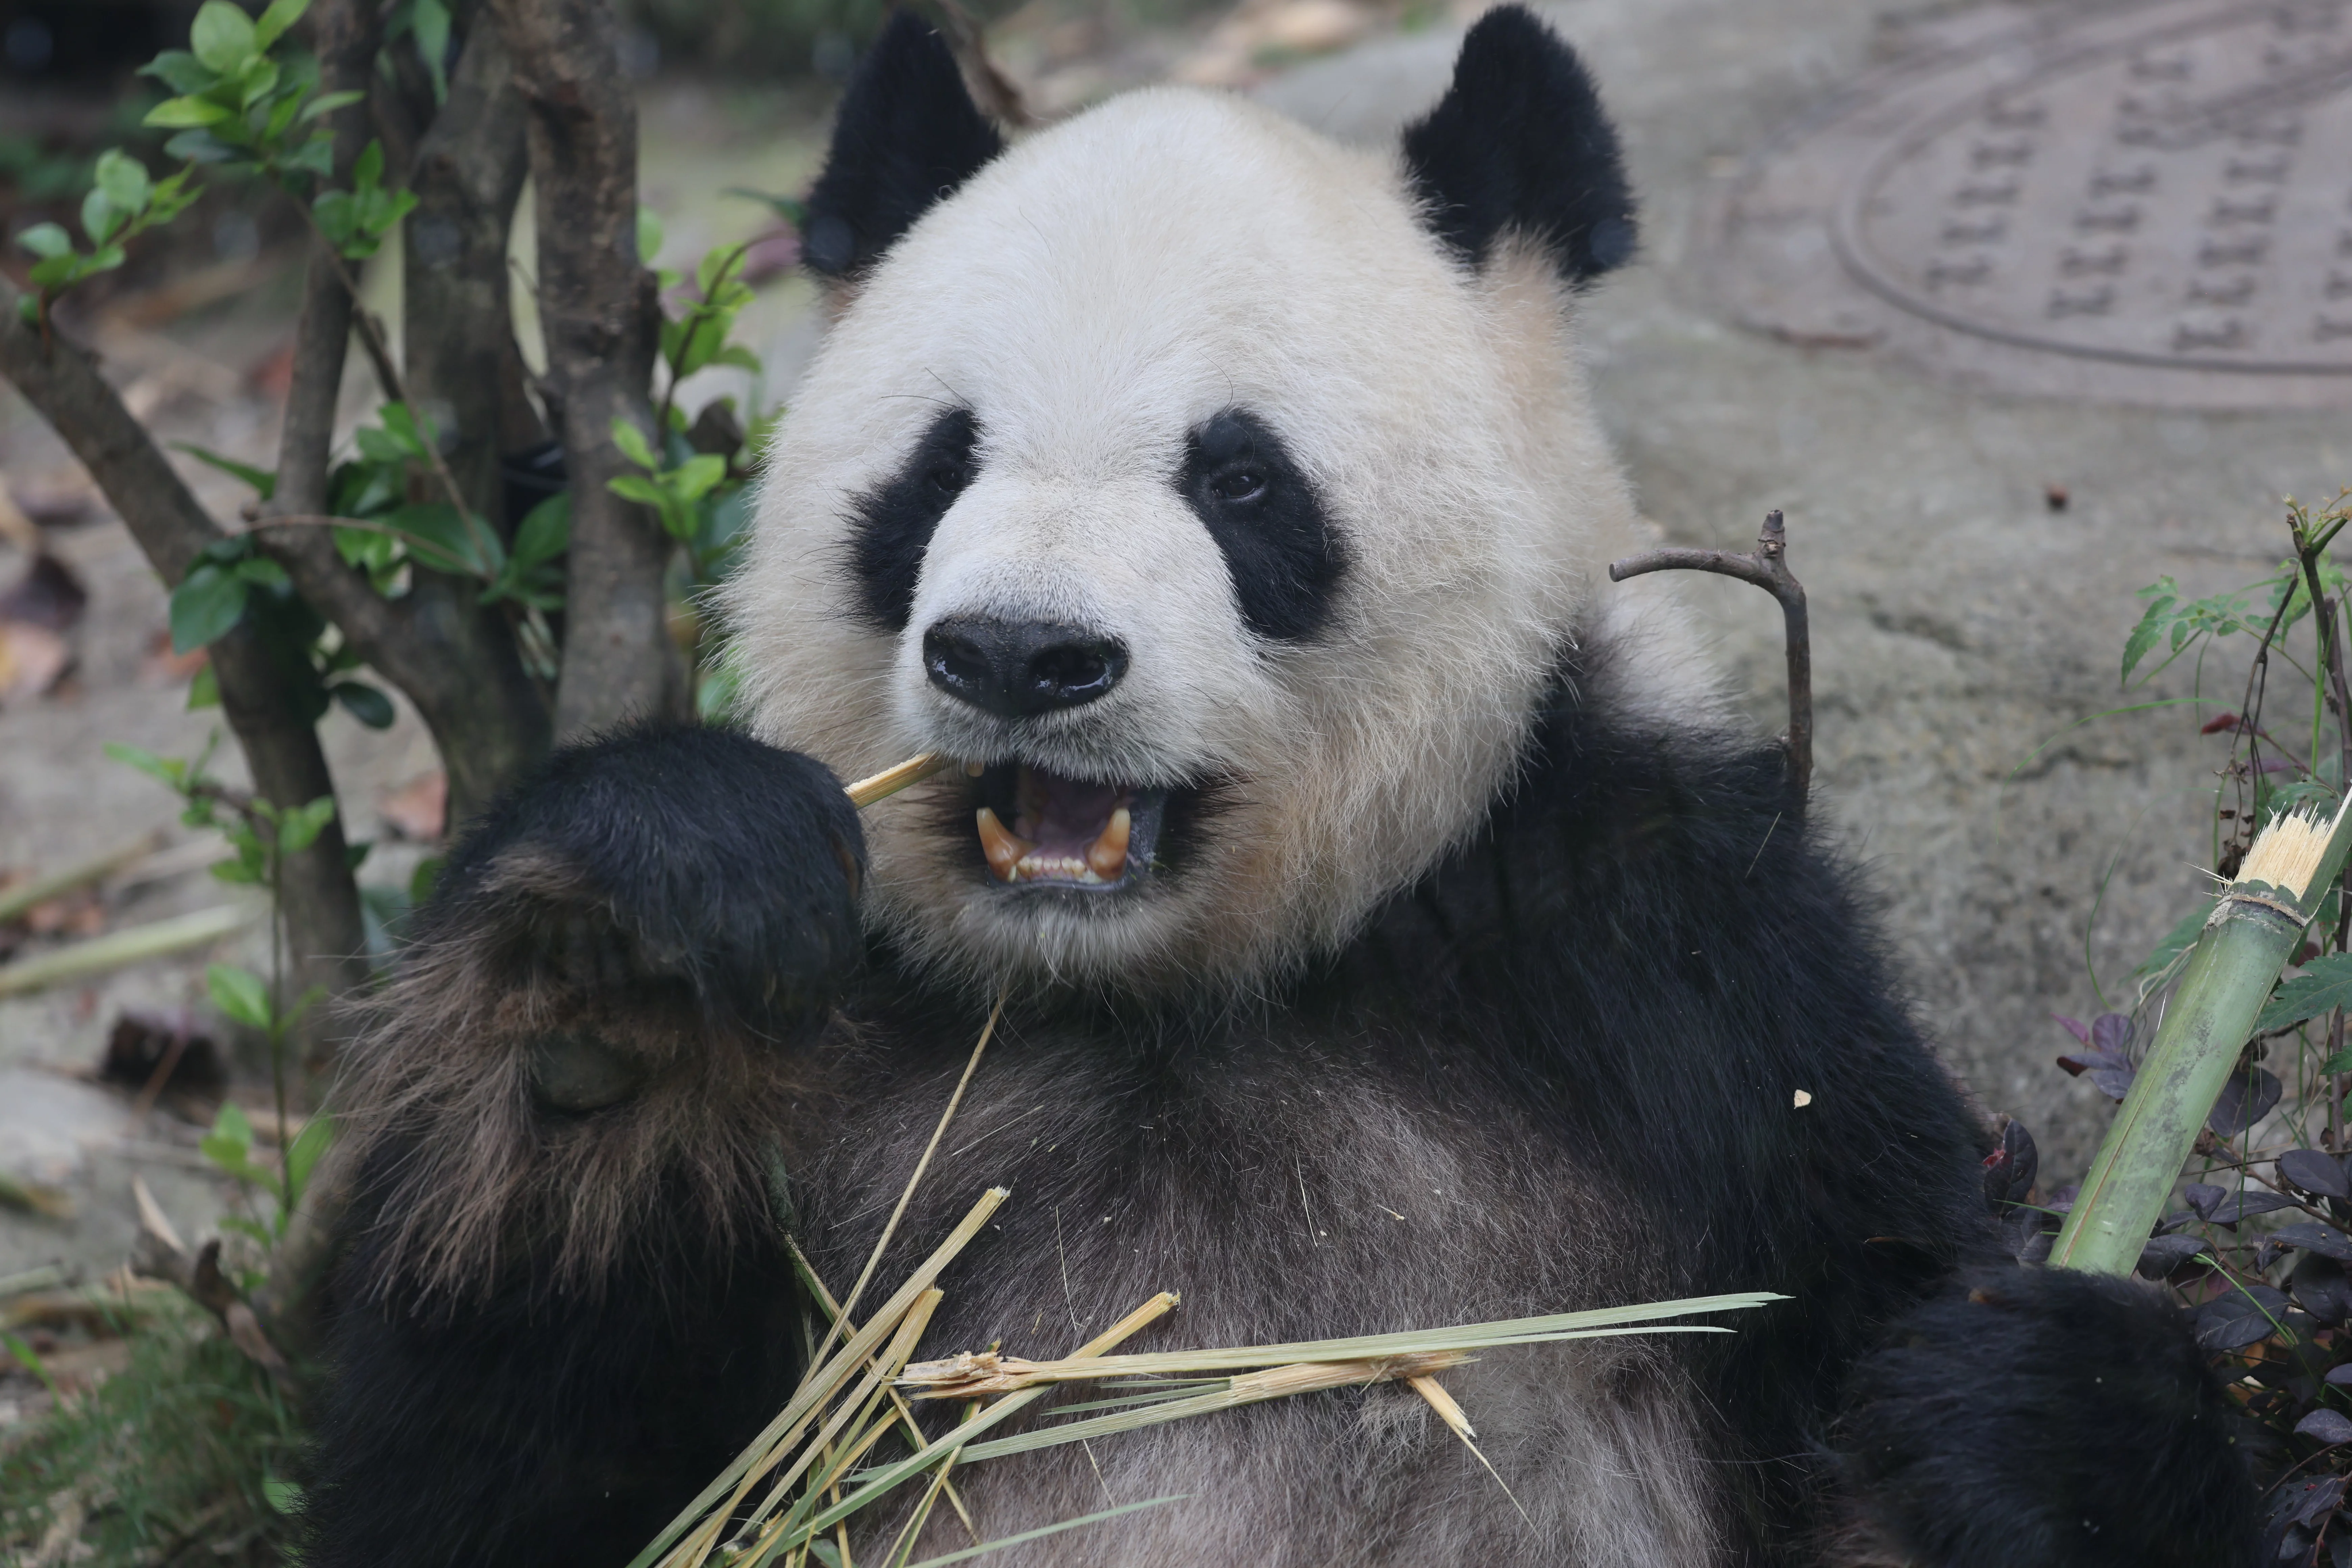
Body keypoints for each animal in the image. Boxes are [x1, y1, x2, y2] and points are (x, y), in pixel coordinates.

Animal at [301, 10, 2258, 1567]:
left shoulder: (1685, 988)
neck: (1160, 997)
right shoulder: (850, 1074)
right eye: (938, 470)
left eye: (1240, 484)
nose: (1021, 652)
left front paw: (2034, 1410)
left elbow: (1884, 1373)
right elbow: (508, 1488)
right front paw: (625, 980)